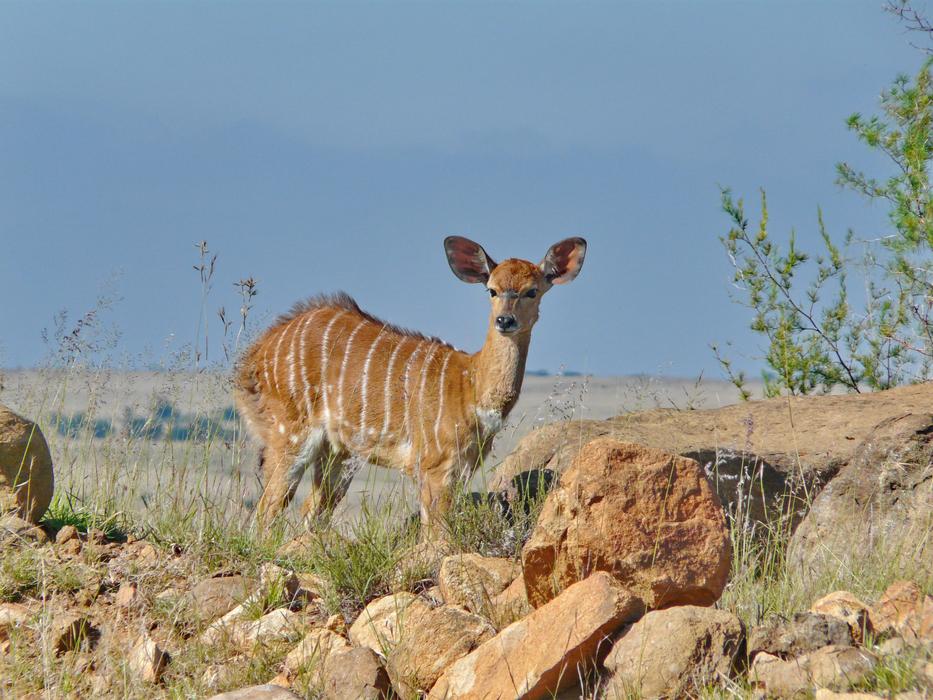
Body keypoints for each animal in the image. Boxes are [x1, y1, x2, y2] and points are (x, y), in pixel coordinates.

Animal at [234, 236, 586, 535]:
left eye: (532, 291)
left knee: (311, 512)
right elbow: (437, 537)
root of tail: (256, 355)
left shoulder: (462, 467)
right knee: (266, 513)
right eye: (492, 290)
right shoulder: (434, 465)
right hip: (291, 435)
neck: (471, 386)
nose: (505, 321)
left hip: (337, 452)